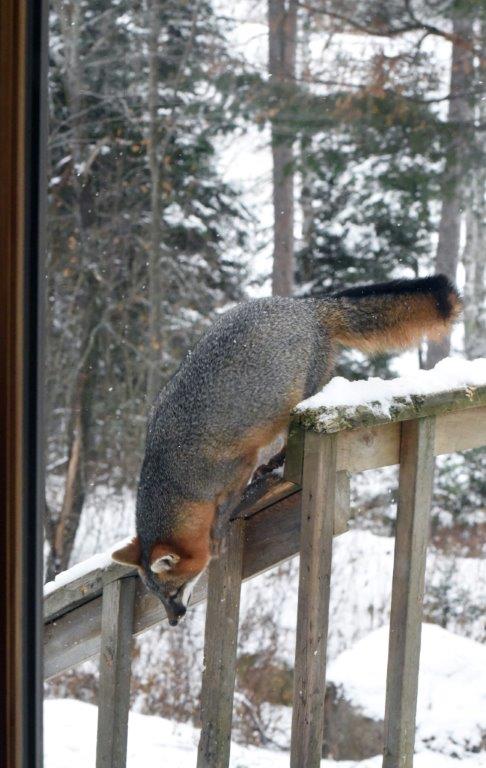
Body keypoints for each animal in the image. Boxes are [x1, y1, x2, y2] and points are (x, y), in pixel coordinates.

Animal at [112, 274, 461, 625]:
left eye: (175, 591)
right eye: (158, 598)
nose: (174, 620)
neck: (174, 477)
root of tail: (308, 305)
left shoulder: (238, 463)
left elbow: (228, 503)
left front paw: (218, 533)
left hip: (295, 405)